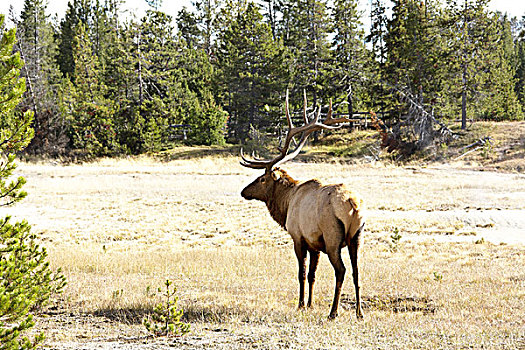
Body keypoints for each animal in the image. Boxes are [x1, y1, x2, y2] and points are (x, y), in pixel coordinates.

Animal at [241, 90, 364, 320]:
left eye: (262, 179)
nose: (243, 191)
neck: (286, 203)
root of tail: (353, 207)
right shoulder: (315, 244)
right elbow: (313, 275)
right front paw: (309, 304)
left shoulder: (298, 237)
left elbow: (302, 273)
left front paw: (300, 305)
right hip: (356, 238)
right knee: (356, 270)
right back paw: (359, 313)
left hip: (333, 238)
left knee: (341, 270)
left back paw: (333, 312)